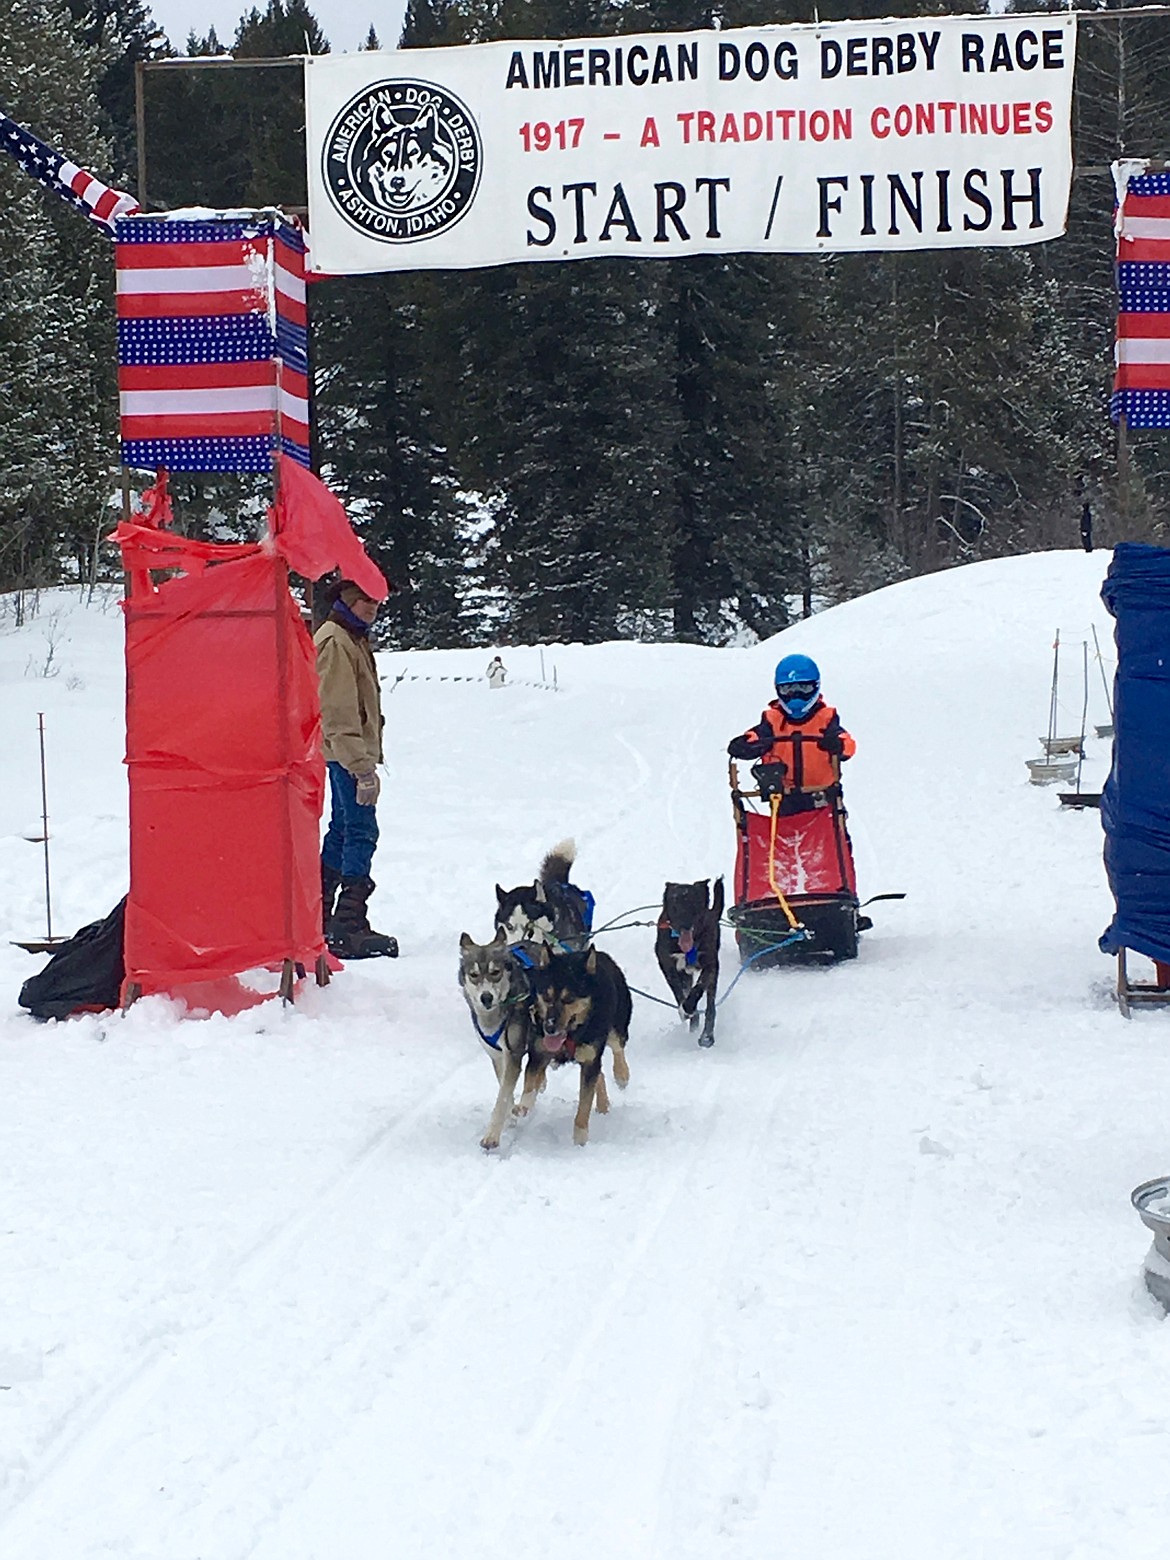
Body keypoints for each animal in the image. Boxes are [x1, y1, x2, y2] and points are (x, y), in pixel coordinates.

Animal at [461, 929, 549, 1154]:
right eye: (474, 975)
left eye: (495, 972)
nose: (486, 997)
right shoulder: (498, 1056)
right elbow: (505, 1088)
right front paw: (510, 1117)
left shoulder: (514, 1053)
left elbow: (502, 1097)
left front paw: (491, 1136)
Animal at [527, 935, 633, 1148]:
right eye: (547, 997)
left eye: (569, 999)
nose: (549, 1027)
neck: (571, 1035)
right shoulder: (539, 1052)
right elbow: (530, 1082)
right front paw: (521, 1107)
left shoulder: (590, 1059)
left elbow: (584, 1106)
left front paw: (580, 1140)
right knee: (600, 1074)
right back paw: (603, 1104)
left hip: (615, 1028)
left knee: (617, 1048)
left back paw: (621, 1074)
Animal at [661, 879, 723, 1048]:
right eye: (675, 903)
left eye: (693, 903)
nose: (685, 924)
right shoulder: (667, 965)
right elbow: (678, 992)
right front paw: (685, 1010)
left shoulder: (711, 964)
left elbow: (698, 988)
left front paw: (689, 1006)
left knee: (710, 1007)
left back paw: (707, 1036)